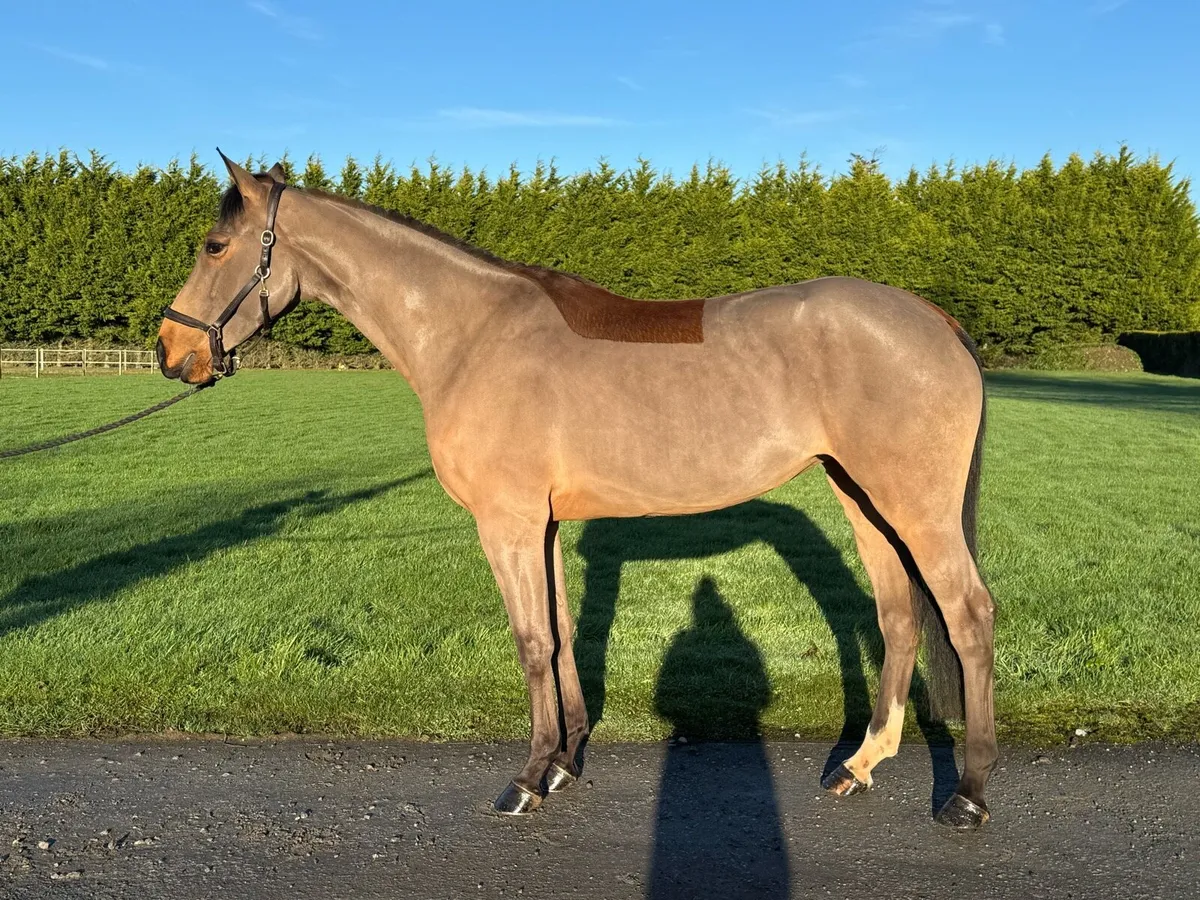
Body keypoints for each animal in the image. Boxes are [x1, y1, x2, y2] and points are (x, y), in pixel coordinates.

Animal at [156, 153, 997, 829]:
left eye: (214, 246)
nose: (171, 350)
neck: (472, 336)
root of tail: (934, 318)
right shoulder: (548, 525)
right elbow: (561, 635)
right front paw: (562, 762)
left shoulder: (508, 524)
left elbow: (532, 642)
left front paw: (527, 780)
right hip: (864, 500)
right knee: (897, 617)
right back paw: (859, 766)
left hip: (915, 510)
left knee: (968, 617)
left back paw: (968, 794)